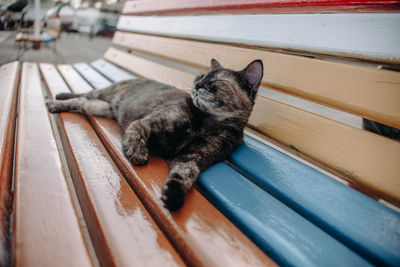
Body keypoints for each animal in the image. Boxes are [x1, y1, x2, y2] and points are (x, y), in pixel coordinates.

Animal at [47, 58, 262, 211]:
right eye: (199, 77)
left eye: (216, 80)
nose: (197, 86)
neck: (207, 122)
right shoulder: (149, 122)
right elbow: (136, 132)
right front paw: (137, 153)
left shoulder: (195, 156)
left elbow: (185, 173)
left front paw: (174, 195)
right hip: (103, 94)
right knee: (84, 94)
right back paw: (56, 101)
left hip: (100, 108)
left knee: (82, 103)